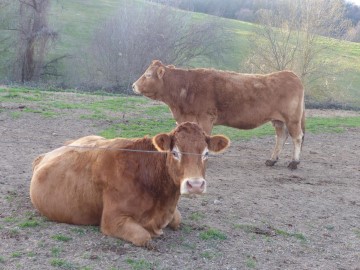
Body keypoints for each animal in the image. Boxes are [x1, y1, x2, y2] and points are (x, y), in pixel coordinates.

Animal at [30, 123, 228, 247]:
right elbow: (144, 237)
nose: (195, 184)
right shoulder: (111, 220)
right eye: (175, 152)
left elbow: (177, 219)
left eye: (206, 153)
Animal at [134, 60, 306, 170]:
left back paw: (294, 162)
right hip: (278, 120)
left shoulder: (205, 118)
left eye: (148, 75)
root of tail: (291, 75)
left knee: (297, 137)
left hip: (292, 119)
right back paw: (272, 160)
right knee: (281, 137)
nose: (133, 85)